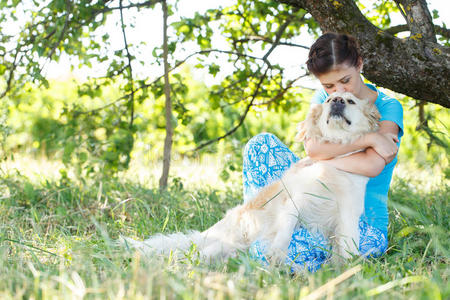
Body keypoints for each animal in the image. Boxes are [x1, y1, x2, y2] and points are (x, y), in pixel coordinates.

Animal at [122, 91, 380, 262]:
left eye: (350, 101)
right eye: (328, 100)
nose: (336, 101)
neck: (335, 163)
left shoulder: (348, 213)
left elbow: (349, 242)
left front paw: (348, 268)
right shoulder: (294, 201)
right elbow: (286, 229)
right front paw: (277, 254)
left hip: (231, 246)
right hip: (230, 240)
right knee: (198, 254)